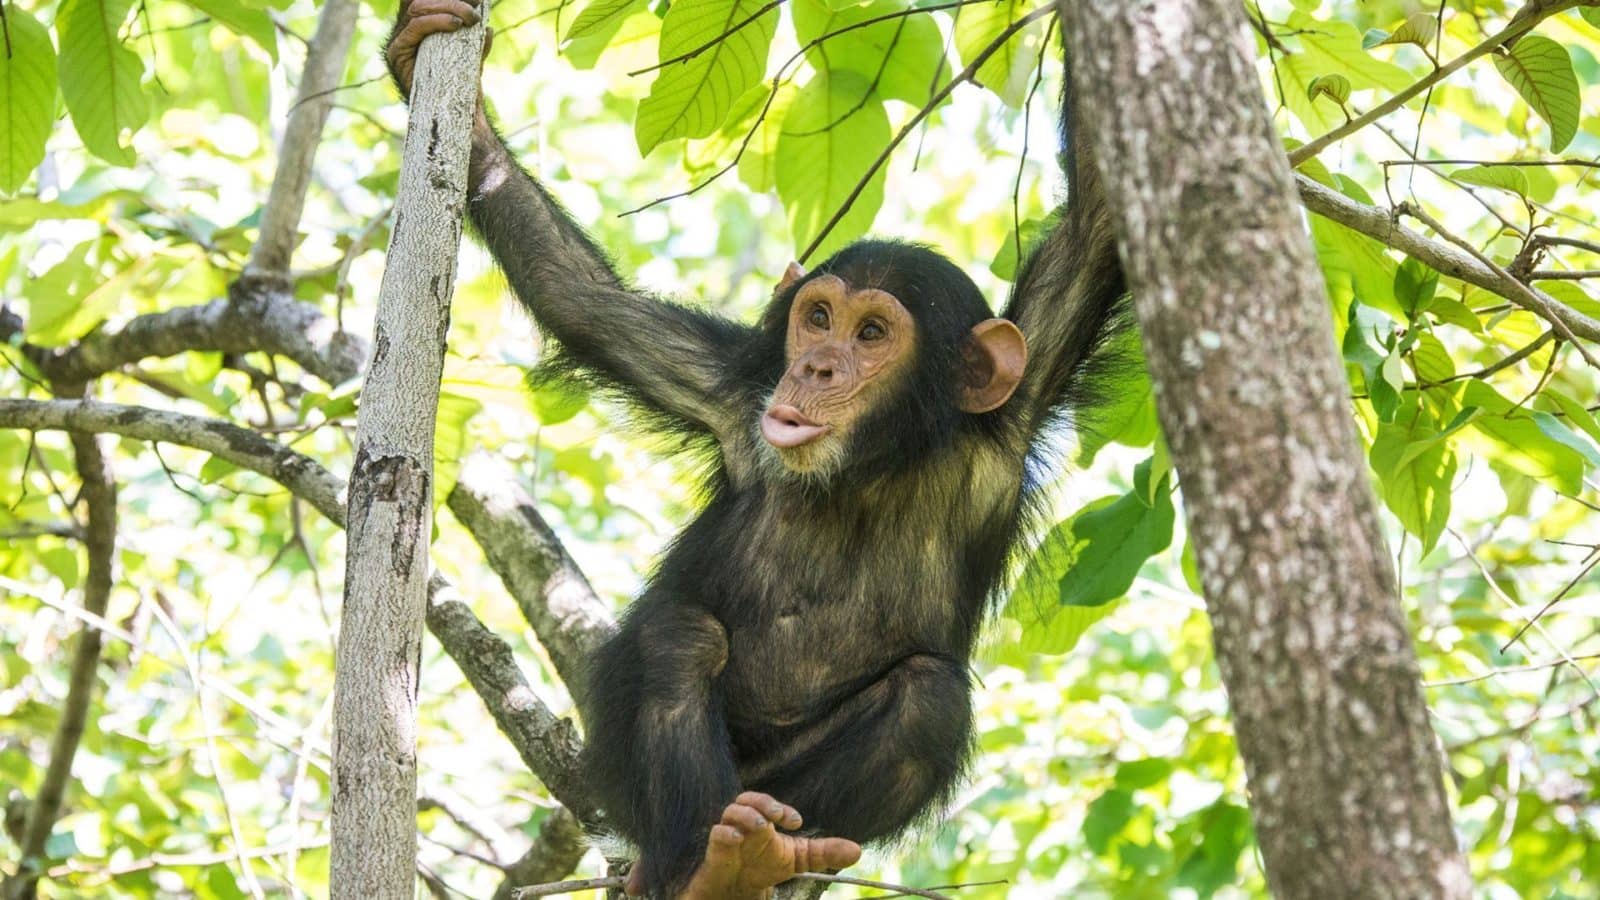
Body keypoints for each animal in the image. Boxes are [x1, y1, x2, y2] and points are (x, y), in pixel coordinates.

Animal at [387, 4, 1126, 898]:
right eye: (818, 318)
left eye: (871, 334)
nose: (815, 367)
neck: (871, 467)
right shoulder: (731, 390)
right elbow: (585, 303)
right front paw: (439, 85)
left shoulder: (1016, 411)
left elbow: (1096, 229)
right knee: (681, 637)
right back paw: (709, 863)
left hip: (779, 785)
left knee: (928, 699)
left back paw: (765, 855)